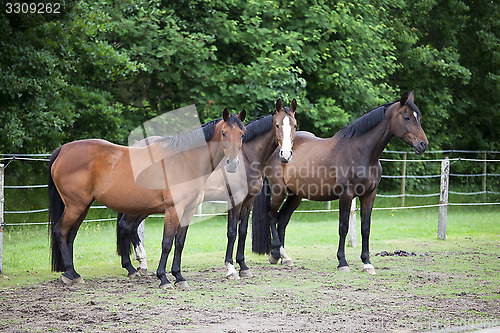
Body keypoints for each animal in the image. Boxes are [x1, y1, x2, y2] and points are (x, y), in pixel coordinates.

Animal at [47, 108, 247, 286]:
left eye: (242, 134)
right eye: (223, 133)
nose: (233, 164)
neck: (185, 160)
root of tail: (63, 150)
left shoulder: (189, 210)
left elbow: (180, 243)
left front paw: (179, 277)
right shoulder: (174, 209)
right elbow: (167, 243)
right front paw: (164, 278)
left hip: (84, 206)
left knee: (71, 235)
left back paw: (73, 273)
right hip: (76, 206)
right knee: (60, 231)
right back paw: (71, 273)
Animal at [116, 98, 296, 278]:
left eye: (294, 125)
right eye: (278, 125)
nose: (286, 155)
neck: (246, 157)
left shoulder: (248, 201)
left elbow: (243, 231)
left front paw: (243, 266)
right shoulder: (235, 200)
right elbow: (232, 232)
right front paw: (231, 268)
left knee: (130, 227)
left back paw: (140, 264)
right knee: (126, 225)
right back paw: (132, 267)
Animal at [252, 92, 428, 274]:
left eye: (419, 117)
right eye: (407, 117)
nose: (423, 144)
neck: (361, 152)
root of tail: (278, 150)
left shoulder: (369, 195)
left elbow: (366, 227)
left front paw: (367, 263)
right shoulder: (346, 195)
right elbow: (343, 227)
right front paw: (342, 262)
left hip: (296, 195)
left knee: (282, 219)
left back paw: (285, 258)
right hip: (279, 191)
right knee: (272, 216)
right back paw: (275, 254)